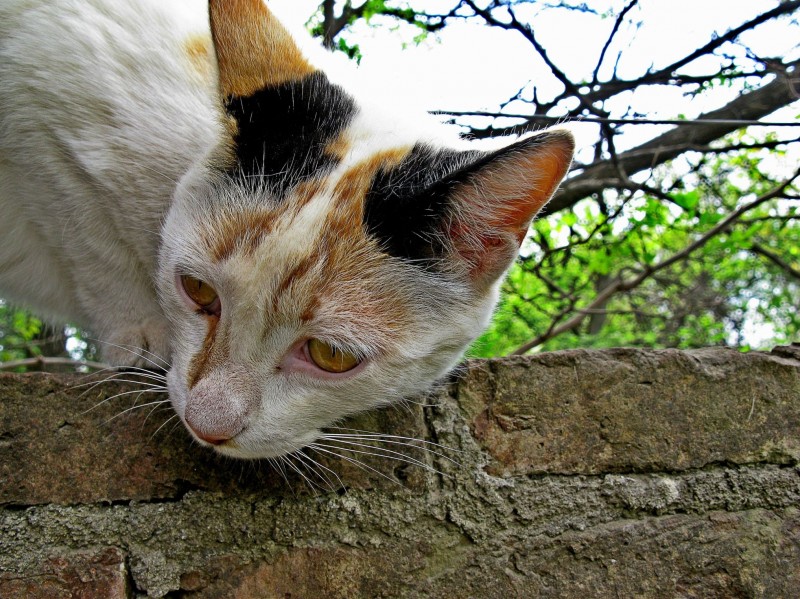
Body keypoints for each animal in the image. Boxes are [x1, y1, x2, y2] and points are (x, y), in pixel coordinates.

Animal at [1, 0, 576, 460]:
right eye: (198, 290)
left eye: (331, 357)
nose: (207, 424)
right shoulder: (43, 97)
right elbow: (88, 237)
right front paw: (140, 336)